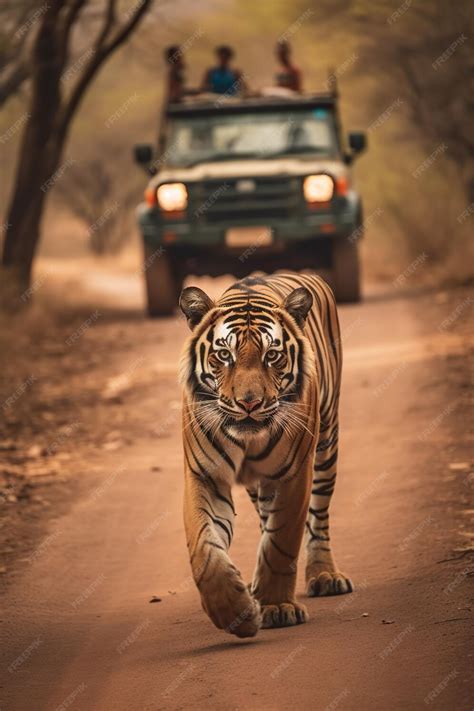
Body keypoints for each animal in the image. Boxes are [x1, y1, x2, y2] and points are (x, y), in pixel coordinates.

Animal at [179, 272, 352, 638]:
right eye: (223, 355)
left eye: (272, 356)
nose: (249, 403)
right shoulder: (204, 476)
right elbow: (204, 546)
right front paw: (233, 610)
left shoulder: (294, 474)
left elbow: (282, 541)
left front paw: (276, 606)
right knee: (264, 518)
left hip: (326, 443)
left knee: (318, 517)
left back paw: (324, 575)